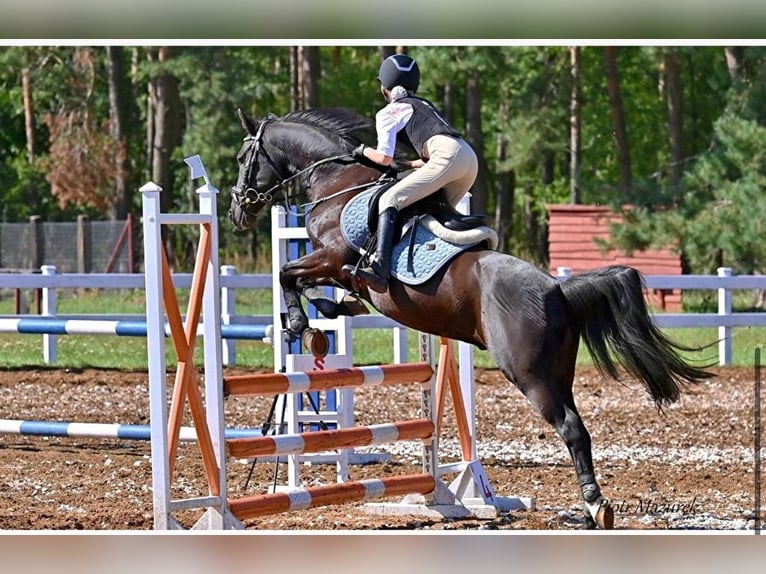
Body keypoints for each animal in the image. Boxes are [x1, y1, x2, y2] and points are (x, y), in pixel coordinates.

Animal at [226, 107, 712, 532]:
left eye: (242, 158)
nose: (236, 212)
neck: (338, 182)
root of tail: (557, 289)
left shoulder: (332, 257)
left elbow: (289, 274)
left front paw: (300, 323)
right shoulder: (334, 267)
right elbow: (311, 285)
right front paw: (328, 312)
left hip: (529, 375)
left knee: (571, 429)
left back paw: (596, 507)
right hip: (559, 372)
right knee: (579, 429)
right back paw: (592, 508)